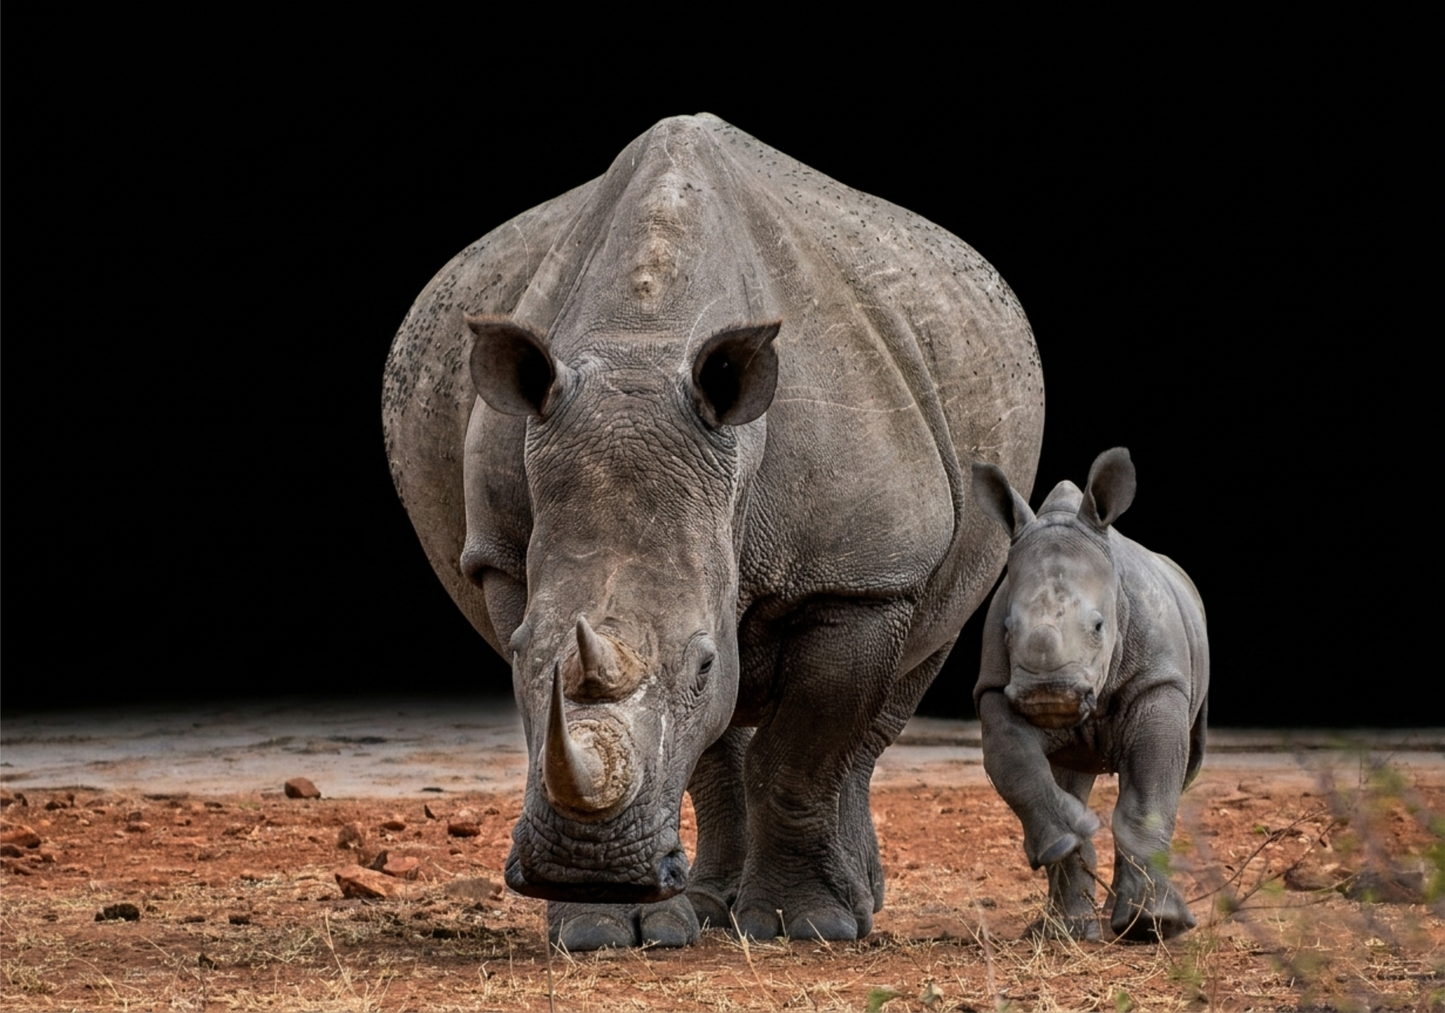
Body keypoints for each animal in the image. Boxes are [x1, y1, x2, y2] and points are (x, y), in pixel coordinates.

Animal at [382, 113, 1043, 949]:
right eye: (522, 651)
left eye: (700, 663)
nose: (586, 869)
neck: (643, 341)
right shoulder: (501, 557)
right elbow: (690, 744)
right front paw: (602, 929)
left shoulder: (859, 574)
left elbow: (801, 752)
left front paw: (806, 925)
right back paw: (703, 911)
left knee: (904, 676)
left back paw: (853, 906)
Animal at [971, 448, 1208, 941]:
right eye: (1008, 629)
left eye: (1099, 626)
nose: (1049, 694)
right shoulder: (995, 687)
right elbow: (1011, 759)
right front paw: (1070, 835)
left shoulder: (1160, 681)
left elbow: (1150, 795)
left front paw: (1156, 925)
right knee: (1068, 772)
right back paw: (1068, 930)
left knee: (1179, 773)